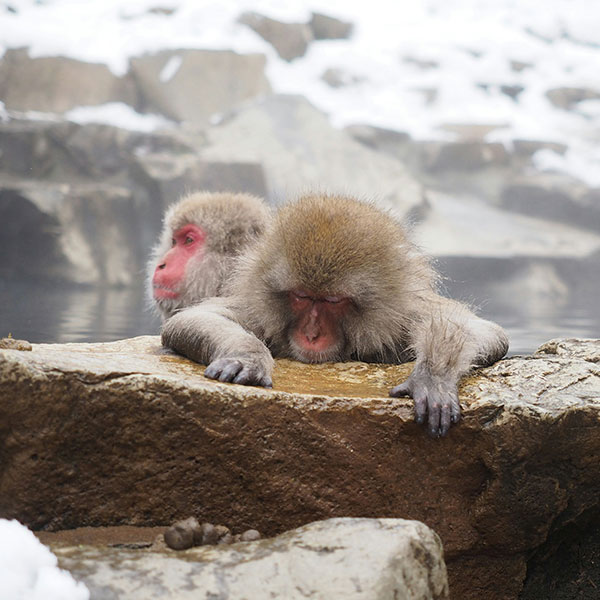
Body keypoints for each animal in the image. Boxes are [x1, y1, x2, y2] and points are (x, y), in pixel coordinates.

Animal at [162, 195, 508, 438]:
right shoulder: (260, 311)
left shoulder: (402, 317)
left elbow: (484, 330)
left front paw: (432, 377)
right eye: (302, 297)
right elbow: (194, 318)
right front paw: (245, 356)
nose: (311, 334)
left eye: (332, 301)